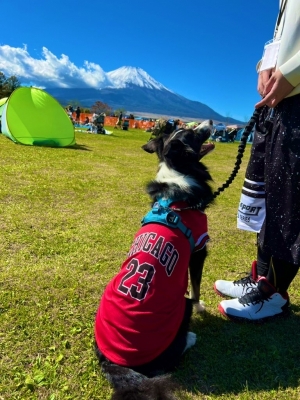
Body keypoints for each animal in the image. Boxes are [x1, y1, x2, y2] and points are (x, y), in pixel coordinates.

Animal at [95, 122, 214, 400]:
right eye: (193, 133)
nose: (212, 123)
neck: (180, 172)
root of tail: (114, 362)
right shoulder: (199, 248)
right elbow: (196, 286)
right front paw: (202, 307)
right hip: (180, 309)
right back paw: (190, 338)